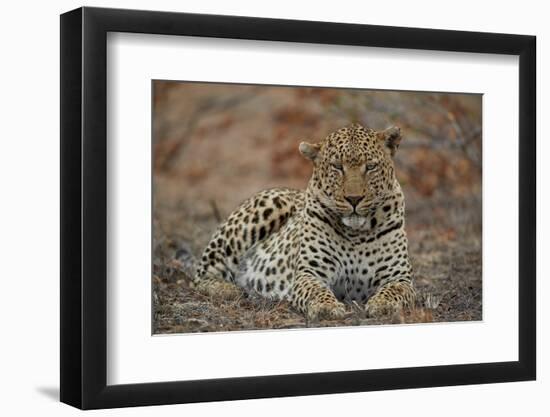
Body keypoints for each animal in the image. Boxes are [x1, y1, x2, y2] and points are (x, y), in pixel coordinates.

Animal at [192, 122, 416, 320]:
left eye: (370, 167)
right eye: (337, 167)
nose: (354, 199)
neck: (356, 234)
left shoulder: (399, 276)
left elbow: (394, 291)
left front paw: (383, 305)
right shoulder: (309, 273)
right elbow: (316, 291)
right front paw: (327, 307)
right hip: (263, 210)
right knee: (201, 276)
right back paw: (229, 289)